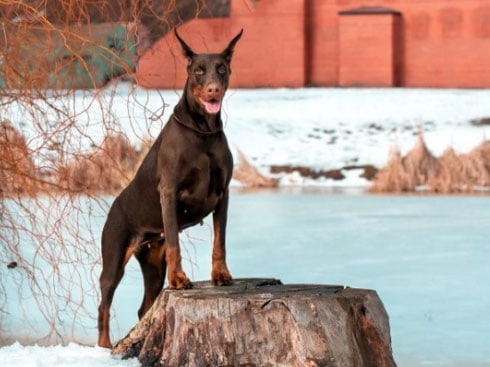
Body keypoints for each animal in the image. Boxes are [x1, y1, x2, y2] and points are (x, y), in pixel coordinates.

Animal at [97, 27, 243, 350]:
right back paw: (103, 345)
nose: (213, 90)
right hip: (114, 257)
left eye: (222, 68)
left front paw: (221, 274)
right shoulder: (170, 192)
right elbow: (176, 242)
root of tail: (113, 205)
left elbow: (220, 241)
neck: (202, 131)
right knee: (104, 304)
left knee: (145, 307)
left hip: (153, 263)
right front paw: (179, 279)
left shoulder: (223, 194)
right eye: (198, 70)